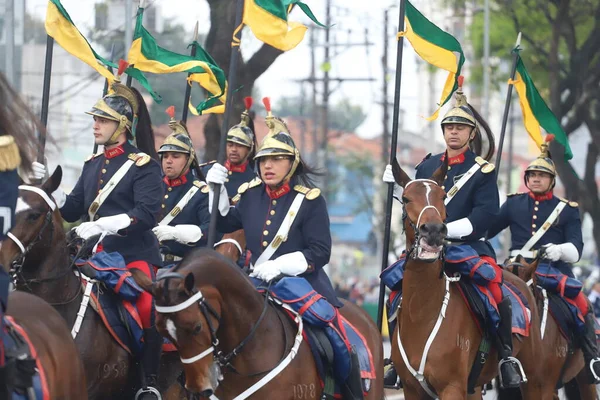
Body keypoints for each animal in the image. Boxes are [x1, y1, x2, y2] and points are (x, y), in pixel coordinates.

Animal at [386, 160, 552, 400]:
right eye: (406, 198)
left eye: (442, 196)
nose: (433, 231)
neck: (422, 313)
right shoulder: (412, 389)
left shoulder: (452, 387)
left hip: (535, 380)